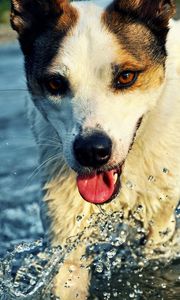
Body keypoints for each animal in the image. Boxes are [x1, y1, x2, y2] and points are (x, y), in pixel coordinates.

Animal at [10, 0, 180, 298]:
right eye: (55, 83)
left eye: (126, 76)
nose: (91, 151)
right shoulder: (65, 223)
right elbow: (66, 274)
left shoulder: (159, 216)